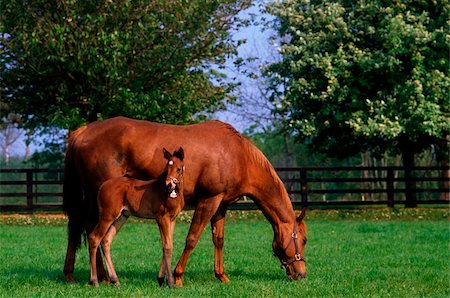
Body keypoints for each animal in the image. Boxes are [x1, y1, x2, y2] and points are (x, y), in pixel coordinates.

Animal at [87, 148, 185, 288]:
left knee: (106, 240)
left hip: (122, 216)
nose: (168, 184)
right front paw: (170, 282)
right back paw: (94, 281)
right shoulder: (162, 218)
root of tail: (101, 187)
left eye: (178, 168)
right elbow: (167, 246)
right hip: (107, 216)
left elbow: (168, 244)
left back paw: (115, 280)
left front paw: (161, 280)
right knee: (94, 238)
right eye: (167, 167)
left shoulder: (172, 219)